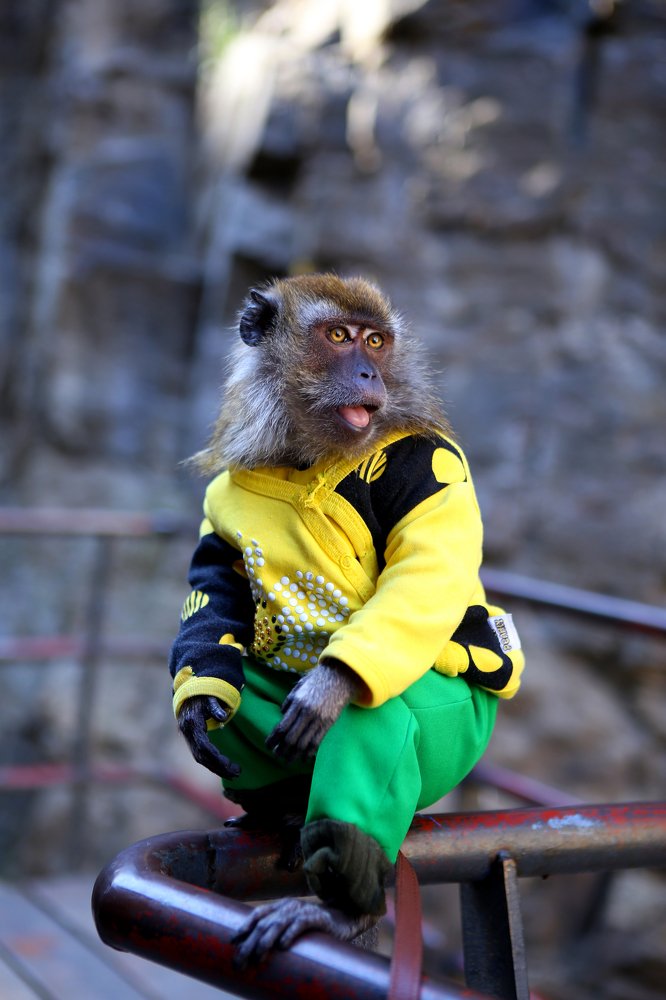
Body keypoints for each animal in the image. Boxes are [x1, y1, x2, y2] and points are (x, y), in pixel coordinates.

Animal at [169, 273, 525, 965]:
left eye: (376, 341)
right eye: (338, 336)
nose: (368, 372)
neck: (309, 455)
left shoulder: (431, 460)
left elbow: (423, 574)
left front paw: (328, 687)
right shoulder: (228, 490)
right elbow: (217, 581)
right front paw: (199, 700)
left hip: (463, 732)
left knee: (380, 715)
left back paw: (344, 905)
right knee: (242, 692)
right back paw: (279, 807)